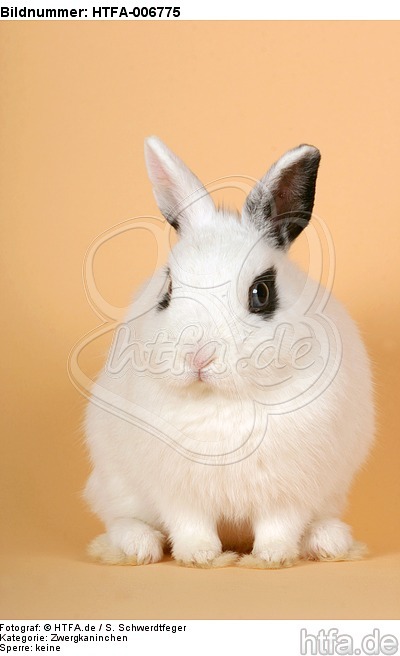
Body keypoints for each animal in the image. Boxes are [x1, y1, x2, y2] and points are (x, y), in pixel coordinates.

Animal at [83, 137, 375, 569]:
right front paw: (200, 556)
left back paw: (328, 542)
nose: (198, 357)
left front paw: (272, 557)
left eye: (261, 293)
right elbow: (190, 523)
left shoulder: (289, 489)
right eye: (167, 291)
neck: (221, 399)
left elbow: (280, 524)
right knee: (122, 520)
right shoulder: (178, 490)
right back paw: (139, 546)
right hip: (116, 483)